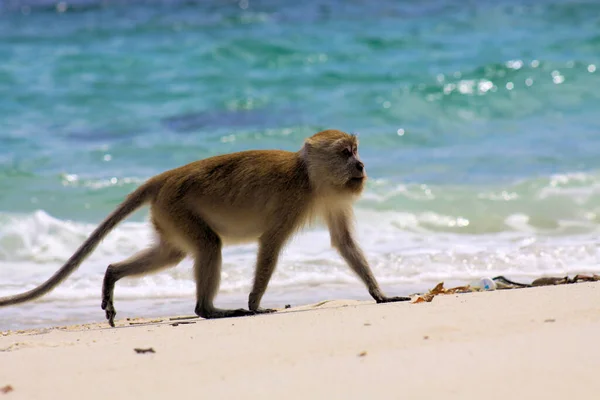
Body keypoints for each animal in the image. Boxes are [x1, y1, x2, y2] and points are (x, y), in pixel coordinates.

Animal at [0, 130, 410, 326]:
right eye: (346, 153)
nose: (362, 166)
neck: (309, 177)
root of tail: (165, 177)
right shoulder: (293, 201)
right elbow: (271, 243)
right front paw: (255, 304)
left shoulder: (333, 198)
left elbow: (344, 242)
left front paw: (380, 294)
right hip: (176, 207)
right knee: (209, 246)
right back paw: (209, 310)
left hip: (167, 215)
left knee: (172, 253)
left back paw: (112, 274)